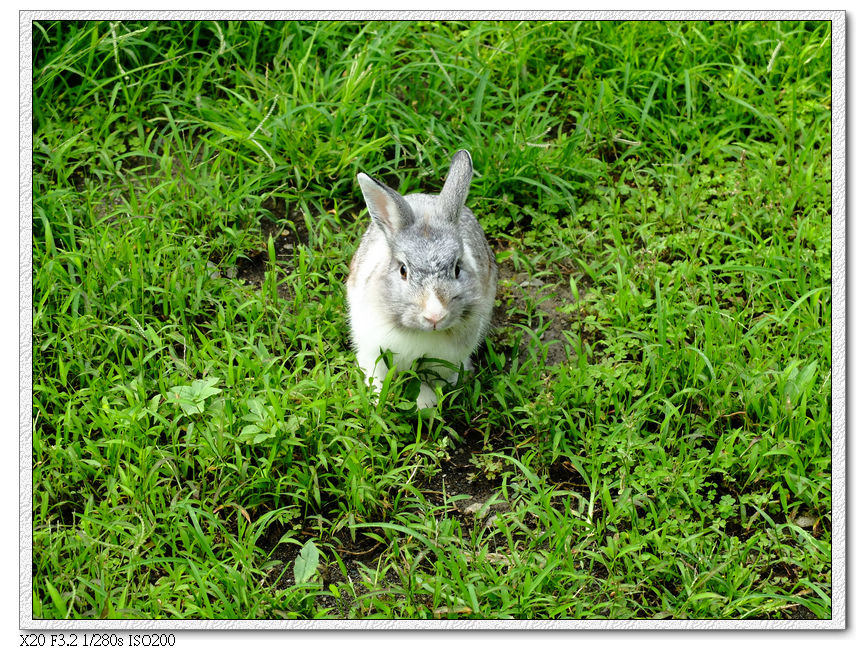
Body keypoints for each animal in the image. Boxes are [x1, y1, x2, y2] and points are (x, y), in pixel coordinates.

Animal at [342, 149, 492, 408]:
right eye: (403, 270)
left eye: (457, 268)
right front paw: (377, 400)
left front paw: (425, 403)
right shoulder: (372, 349)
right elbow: (375, 374)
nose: (435, 316)